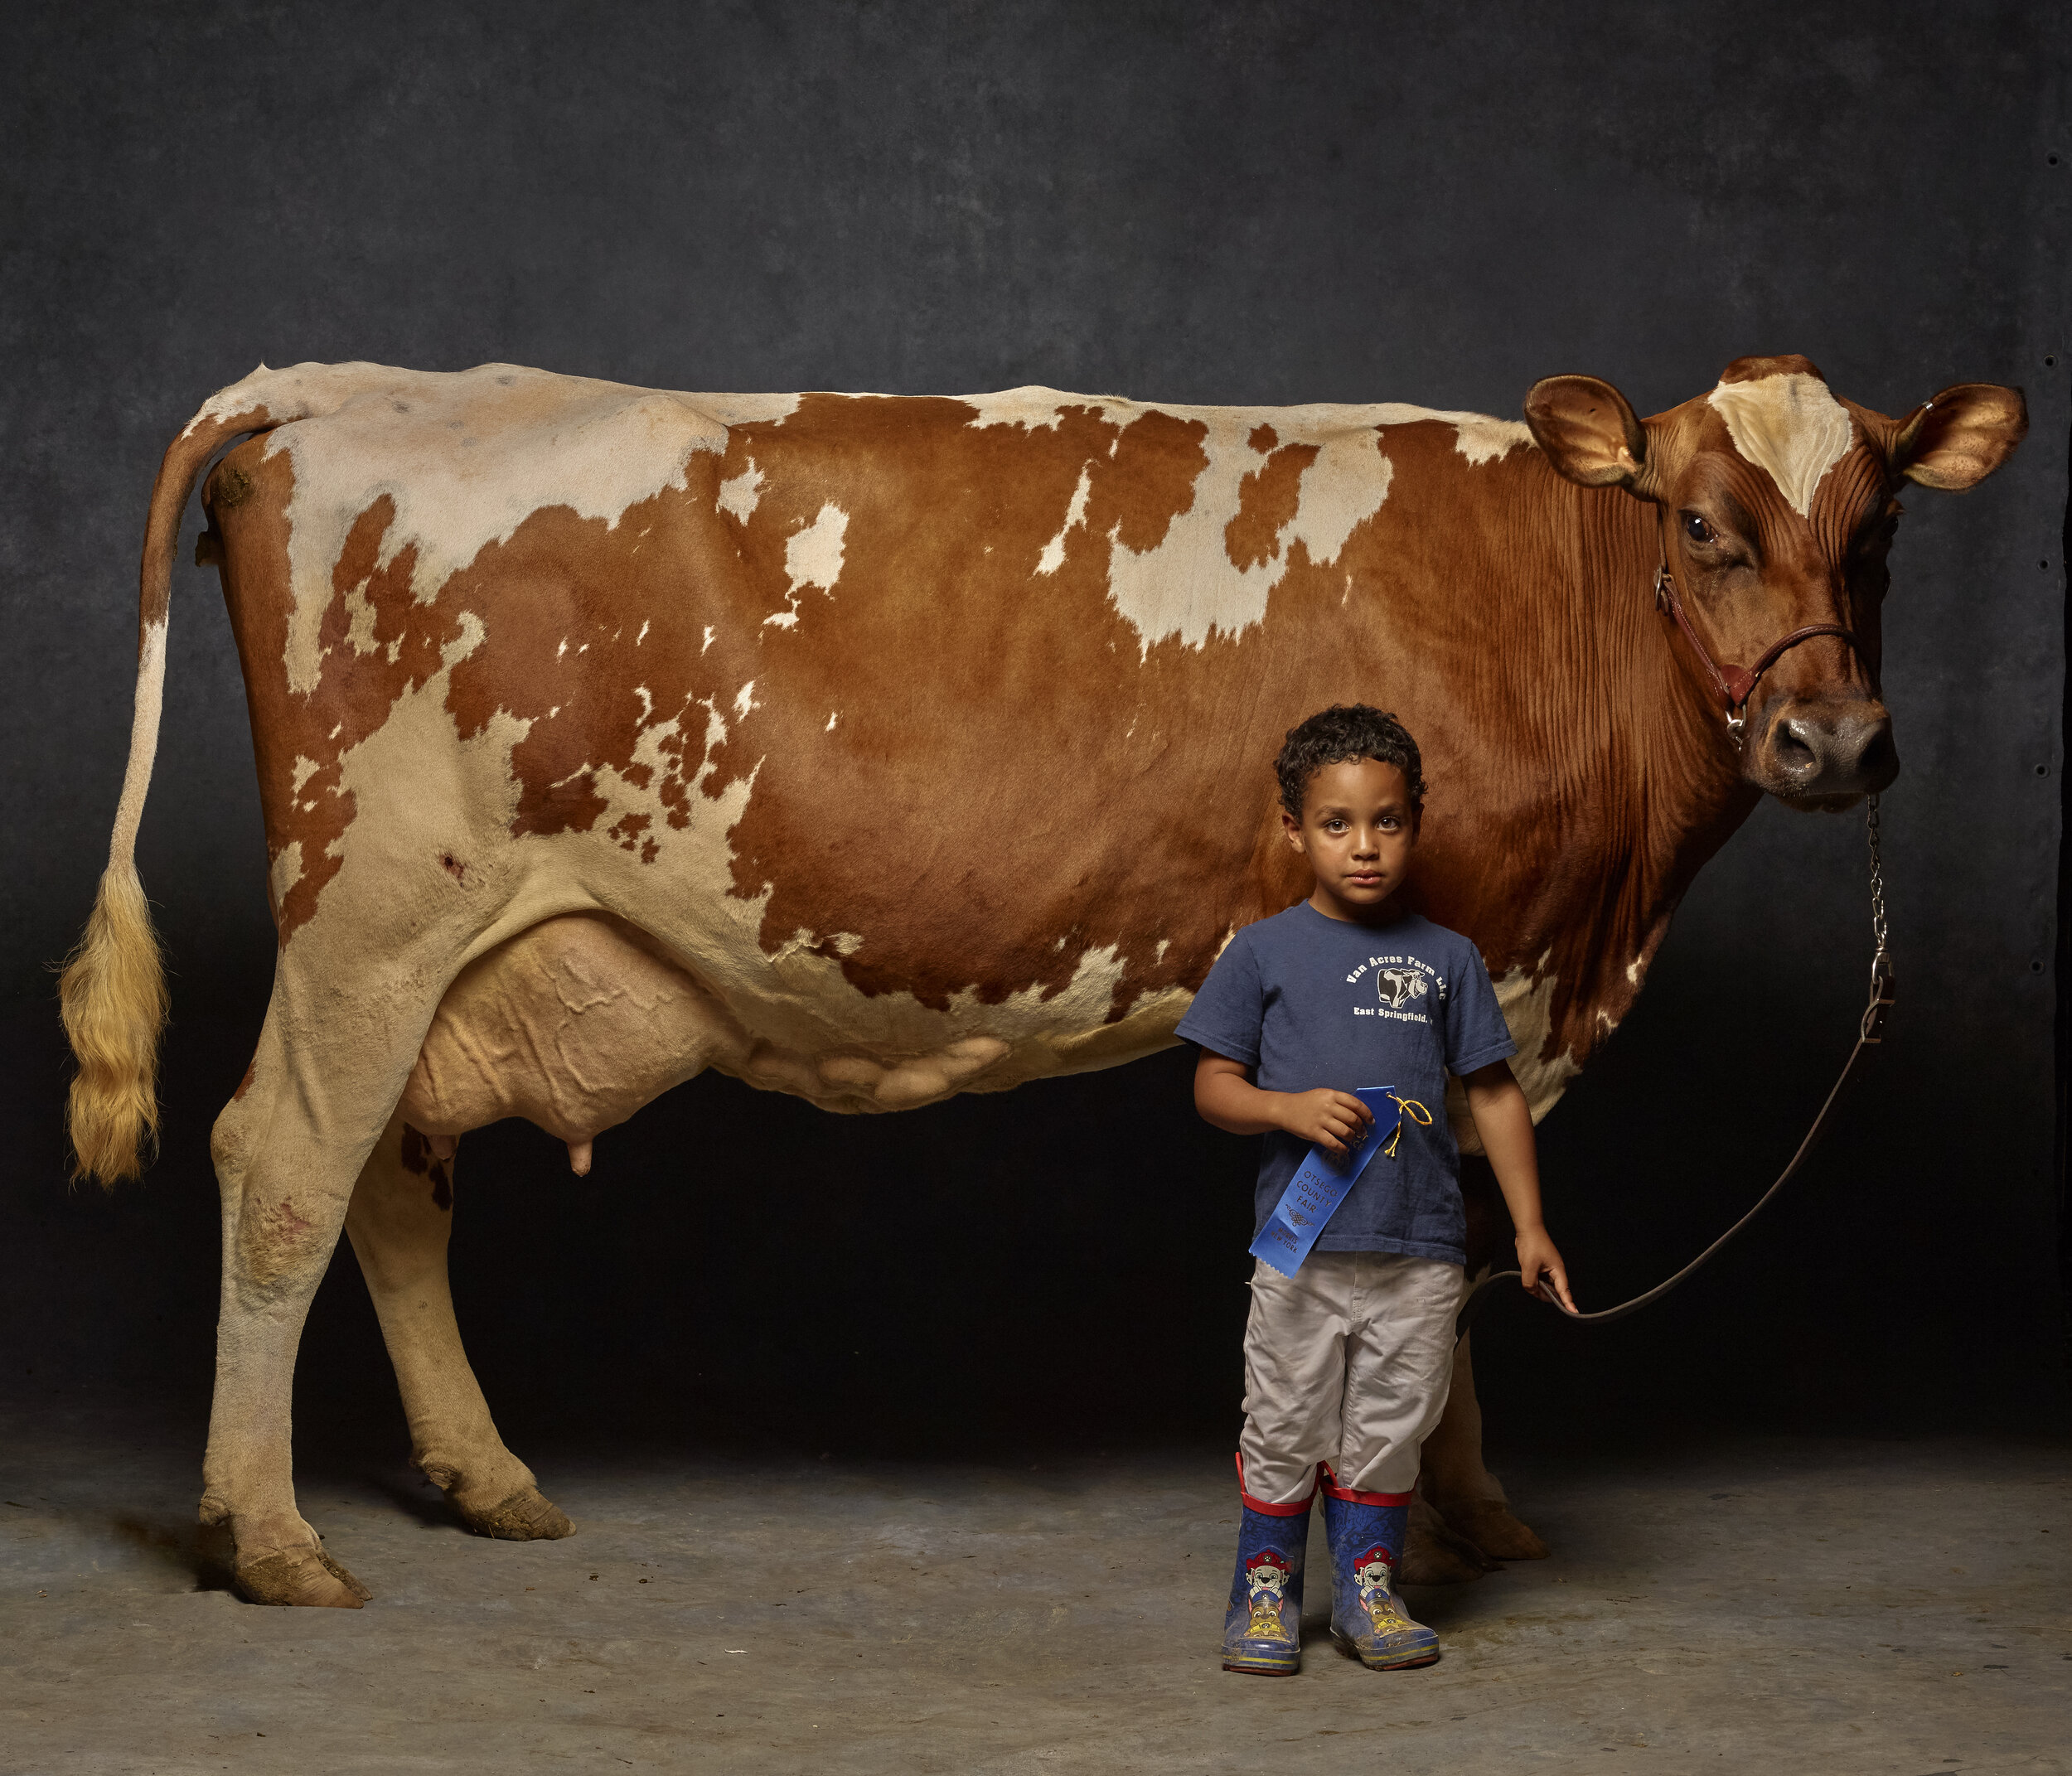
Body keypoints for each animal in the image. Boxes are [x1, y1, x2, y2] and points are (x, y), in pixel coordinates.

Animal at [61, 354, 2022, 1599]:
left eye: (1878, 534)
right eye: (1698, 524)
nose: (1834, 739)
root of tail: (356, 382)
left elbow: (1461, 1231)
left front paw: (1461, 1507)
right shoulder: (1491, 951)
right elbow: (1446, 1230)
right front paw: (1439, 1511)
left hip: (447, 948)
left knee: (395, 1180)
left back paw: (483, 1477)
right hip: (378, 905)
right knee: (286, 1162)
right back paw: (267, 1536)